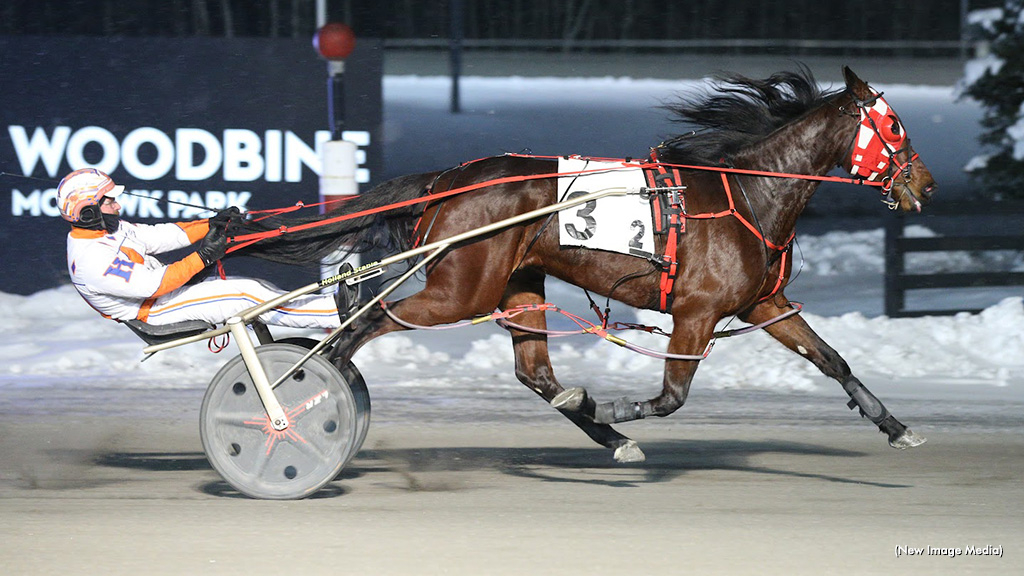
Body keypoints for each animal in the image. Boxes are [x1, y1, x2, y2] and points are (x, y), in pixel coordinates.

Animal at [232, 66, 937, 461]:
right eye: (896, 127)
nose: (924, 184)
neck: (749, 193)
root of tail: (449, 181)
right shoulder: (698, 311)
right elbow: (672, 396)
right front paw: (620, 408)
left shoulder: (765, 303)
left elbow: (833, 360)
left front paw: (896, 426)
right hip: (461, 287)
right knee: (368, 319)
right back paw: (300, 394)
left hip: (515, 283)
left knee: (535, 372)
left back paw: (603, 430)